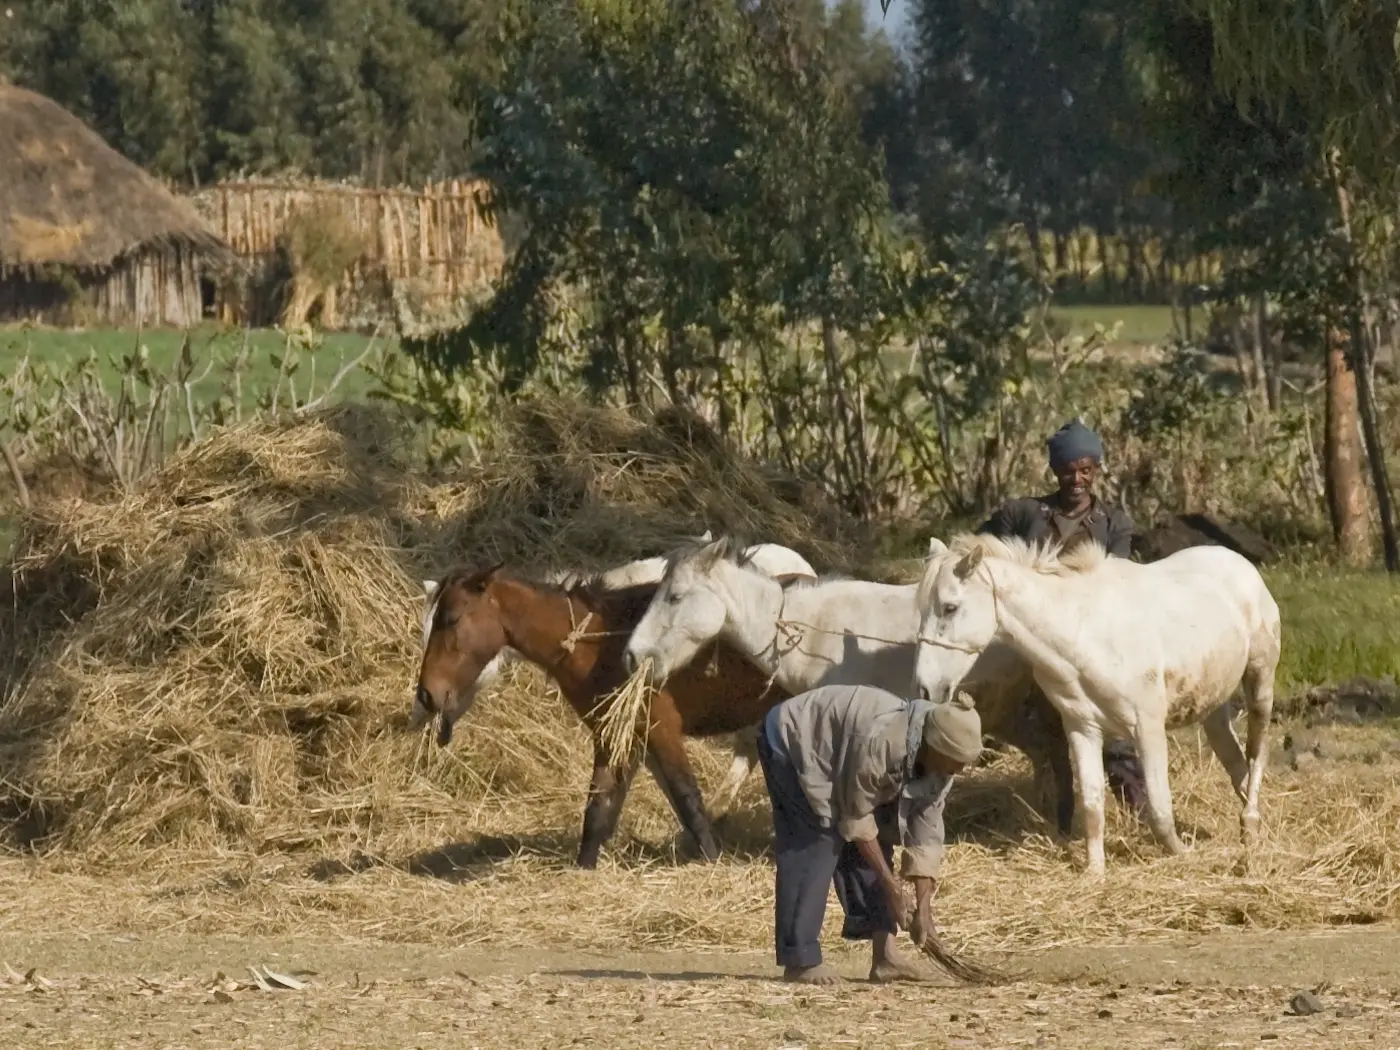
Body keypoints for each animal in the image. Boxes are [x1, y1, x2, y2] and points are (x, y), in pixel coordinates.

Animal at [411, 568, 800, 873]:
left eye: (452, 619)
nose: (427, 695)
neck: (601, 644)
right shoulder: (615, 736)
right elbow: (599, 808)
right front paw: (585, 866)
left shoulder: (660, 730)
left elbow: (687, 798)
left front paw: (711, 858)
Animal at [912, 534, 1282, 879]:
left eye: (950, 607)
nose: (926, 687)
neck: (1083, 633)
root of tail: (1241, 565)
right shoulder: (1082, 728)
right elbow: (1091, 804)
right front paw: (1094, 871)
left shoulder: (1147, 727)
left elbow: (1159, 808)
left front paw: (1182, 853)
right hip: (1211, 707)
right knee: (1235, 761)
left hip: (1260, 683)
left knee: (1257, 751)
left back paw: (1250, 822)